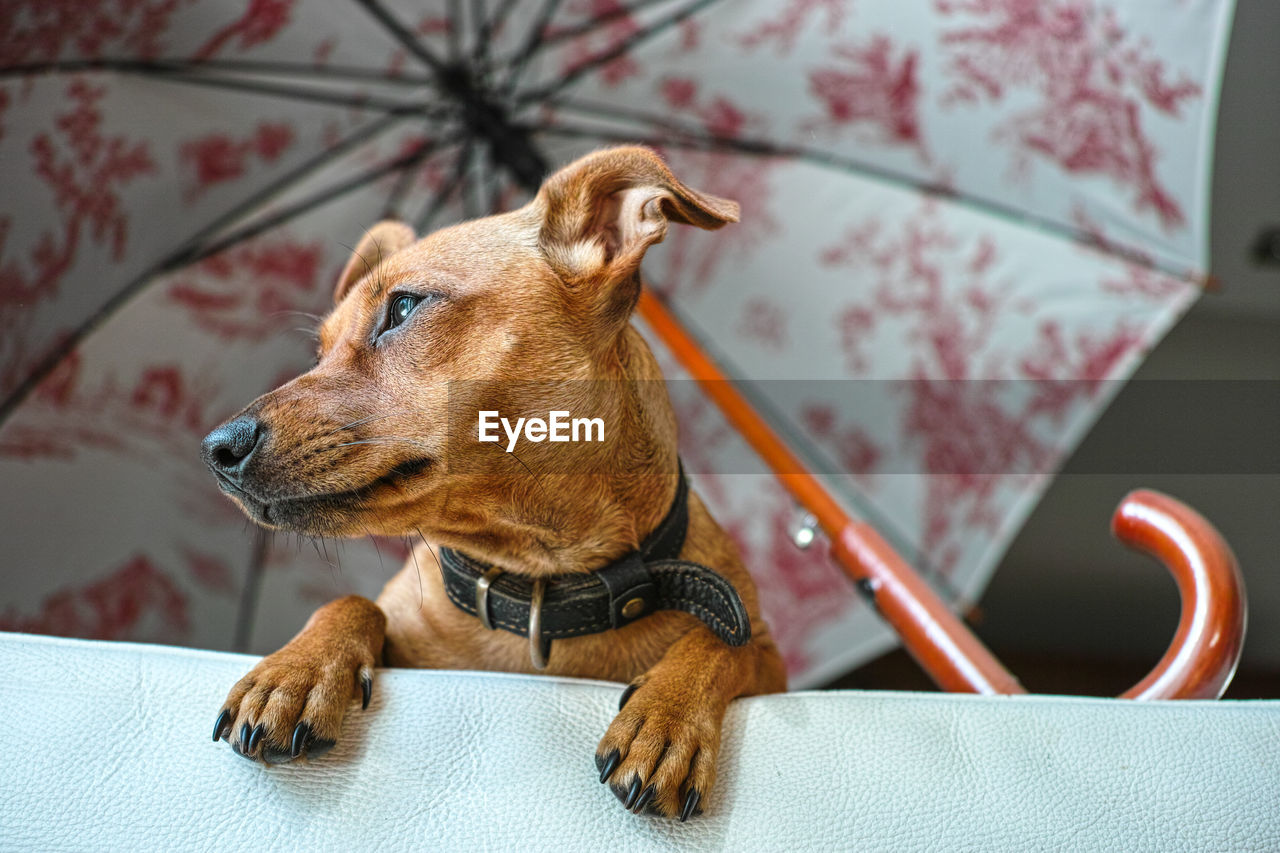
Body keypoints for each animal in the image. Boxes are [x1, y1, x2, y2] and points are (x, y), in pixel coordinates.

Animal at [200, 146, 783, 819]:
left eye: (403, 308)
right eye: (317, 354)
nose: (215, 450)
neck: (537, 581)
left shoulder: (769, 659)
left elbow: (724, 643)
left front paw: (666, 717)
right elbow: (352, 602)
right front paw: (291, 675)